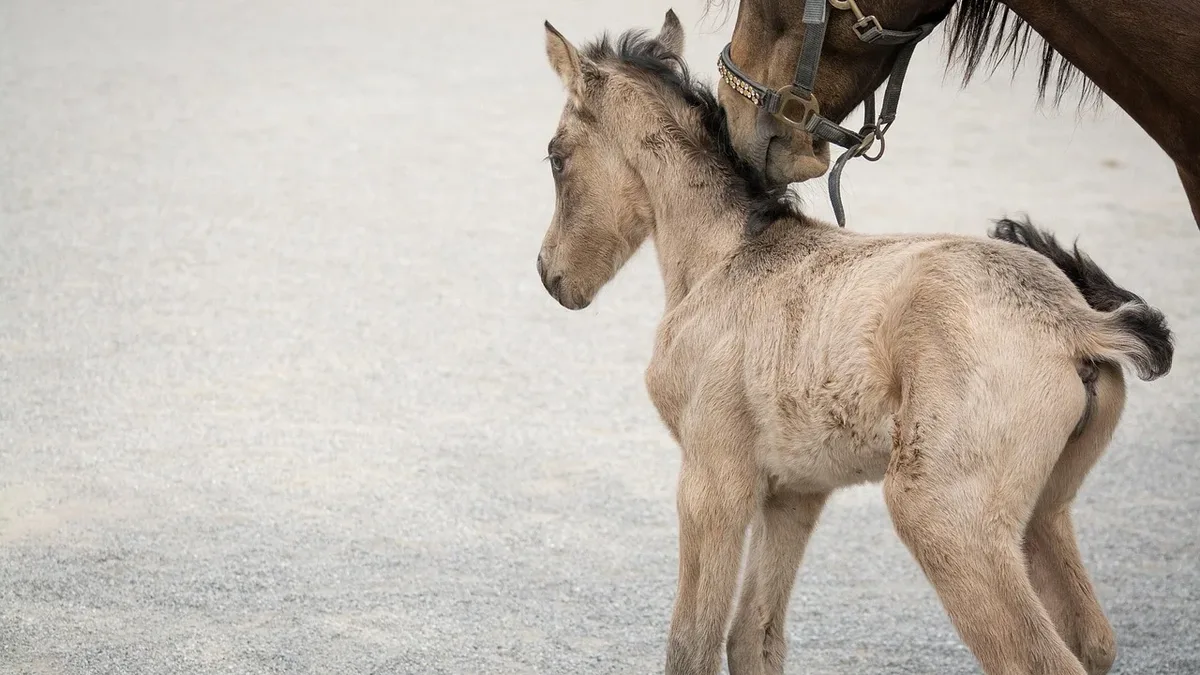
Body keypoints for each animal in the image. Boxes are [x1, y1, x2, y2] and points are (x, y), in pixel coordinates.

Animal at [535, 11, 1173, 675]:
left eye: (555, 158)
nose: (551, 276)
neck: (728, 254)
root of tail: (1074, 322)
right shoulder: (796, 492)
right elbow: (753, 638)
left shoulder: (713, 480)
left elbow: (693, 643)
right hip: (1045, 512)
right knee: (1092, 639)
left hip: (945, 516)